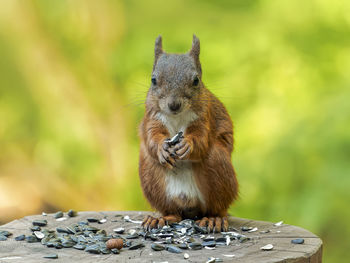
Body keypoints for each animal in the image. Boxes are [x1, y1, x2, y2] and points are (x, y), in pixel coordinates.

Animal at [137, 35, 238, 233]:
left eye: (196, 80)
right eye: (153, 80)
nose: (173, 105)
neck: (177, 117)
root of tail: (190, 207)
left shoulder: (205, 117)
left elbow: (202, 138)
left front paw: (188, 145)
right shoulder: (152, 117)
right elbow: (152, 136)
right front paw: (161, 148)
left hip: (218, 167)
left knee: (218, 207)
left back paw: (214, 219)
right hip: (151, 176)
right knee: (174, 212)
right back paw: (161, 218)